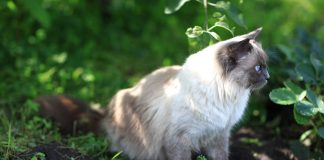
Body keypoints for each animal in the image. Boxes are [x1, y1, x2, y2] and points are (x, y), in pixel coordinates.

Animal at [36, 28, 268, 159]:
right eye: (258, 68)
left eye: (265, 66)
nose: (268, 76)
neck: (228, 96)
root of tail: (104, 114)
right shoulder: (178, 139)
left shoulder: (218, 135)